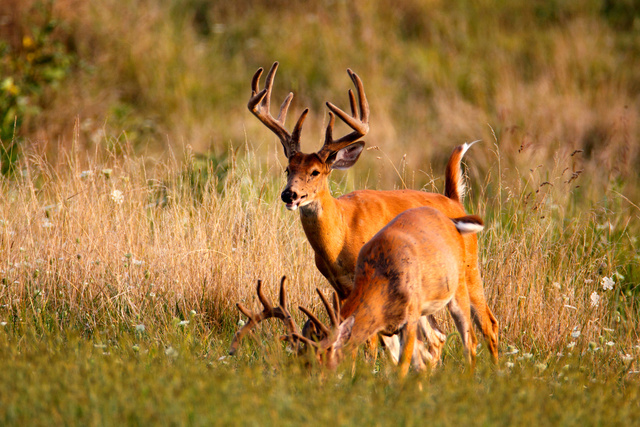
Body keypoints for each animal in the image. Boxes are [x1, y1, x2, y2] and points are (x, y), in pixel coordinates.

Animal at [293, 207, 484, 376]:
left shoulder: (409, 319)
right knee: (437, 341)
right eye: (303, 362)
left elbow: (403, 368)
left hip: (459, 286)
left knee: (470, 341)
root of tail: (452, 222)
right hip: (423, 310)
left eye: (322, 359)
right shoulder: (387, 327)